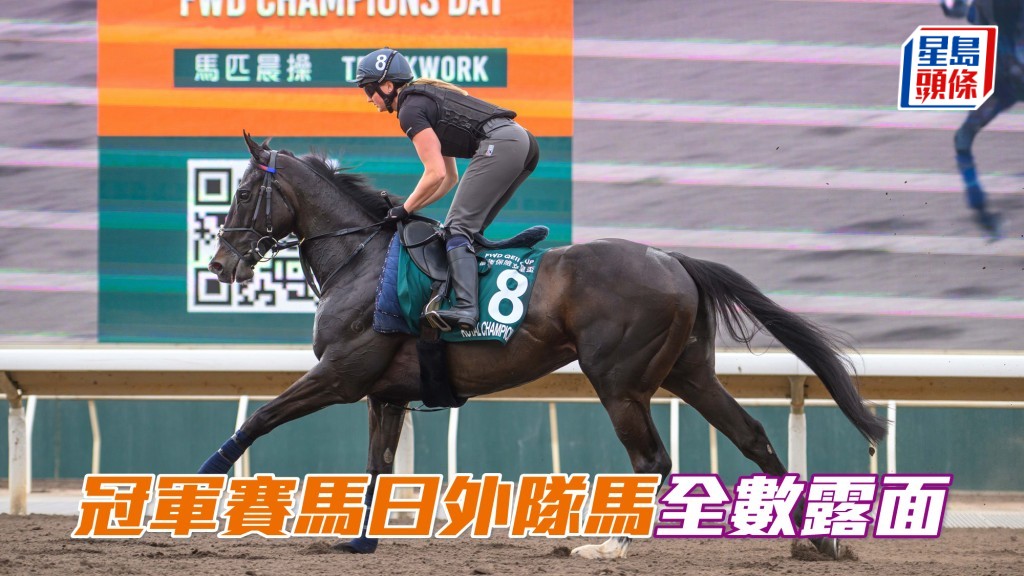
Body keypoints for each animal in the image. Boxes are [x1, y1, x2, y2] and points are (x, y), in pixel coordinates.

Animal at [200, 132, 887, 560]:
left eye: (241, 194)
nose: (220, 265)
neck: (364, 260)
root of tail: (673, 259)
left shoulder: (341, 375)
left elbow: (259, 419)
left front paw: (197, 484)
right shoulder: (384, 393)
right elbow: (376, 467)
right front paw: (362, 541)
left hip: (619, 381)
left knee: (652, 460)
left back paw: (610, 545)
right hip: (689, 373)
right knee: (753, 437)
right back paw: (820, 540)